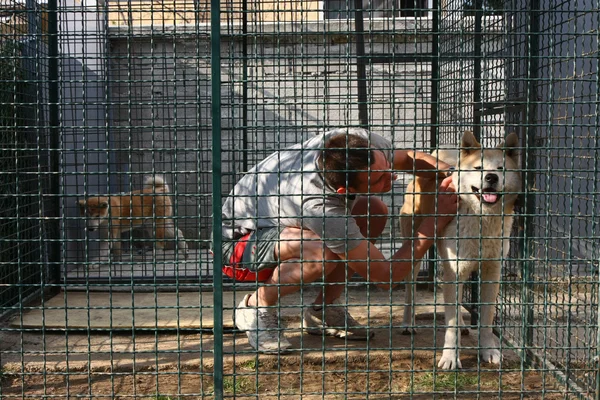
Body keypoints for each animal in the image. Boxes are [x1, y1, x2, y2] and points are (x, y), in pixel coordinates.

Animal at [398, 131, 520, 368]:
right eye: (478, 168)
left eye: (501, 168)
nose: (491, 177)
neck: (482, 219)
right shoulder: (453, 271)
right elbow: (451, 324)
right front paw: (450, 358)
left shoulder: (491, 272)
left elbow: (486, 319)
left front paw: (489, 351)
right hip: (415, 251)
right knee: (410, 290)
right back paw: (408, 323)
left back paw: (464, 325)